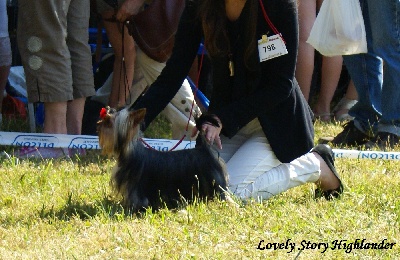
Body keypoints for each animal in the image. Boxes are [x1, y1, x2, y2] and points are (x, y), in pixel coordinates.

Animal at [97, 106, 228, 210]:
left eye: (108, 122)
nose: (98, 123)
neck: (130, 152)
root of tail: (204, 149)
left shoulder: (137, 188)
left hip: (213, 180)